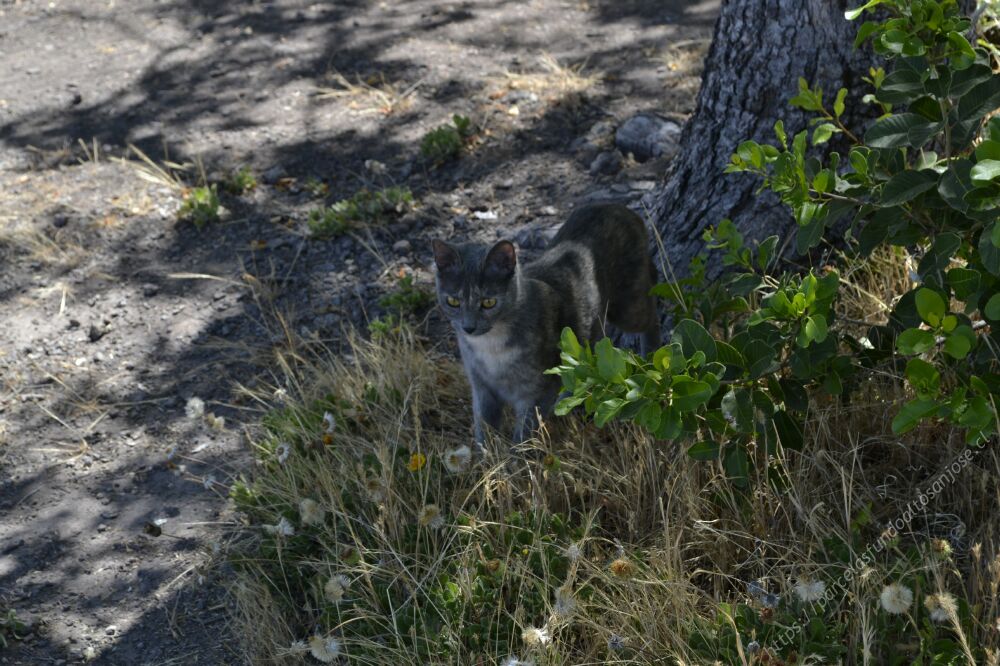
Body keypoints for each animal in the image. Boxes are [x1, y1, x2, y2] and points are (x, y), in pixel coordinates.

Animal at [432, 203, 661, 448]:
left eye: (488, 302)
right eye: (453, 301)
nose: (468, 327)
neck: (491, 345)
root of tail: (620, 208)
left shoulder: (536, 391)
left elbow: (524, 435)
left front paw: (517, 456)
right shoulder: (482, 387)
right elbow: (484, 428)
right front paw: (485, 455)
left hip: (628, 306)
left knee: (651, 309)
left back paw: (652, 355)